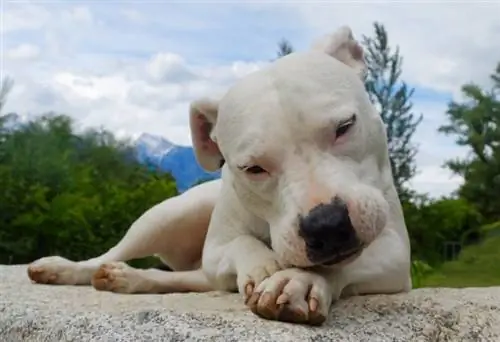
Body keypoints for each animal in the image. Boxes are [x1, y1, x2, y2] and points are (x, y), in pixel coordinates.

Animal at [26, 26, 410, 326]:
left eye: (345, 126)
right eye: (253, 168)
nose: (327, 224)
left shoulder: (395, 255)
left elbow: (342, 263)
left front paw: (297, 280)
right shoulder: (216, 249)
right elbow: (241, 243)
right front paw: (265, 265)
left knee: (190, 279)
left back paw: (131, 279)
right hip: (168, 215)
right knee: (113, 253)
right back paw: (65, 269)